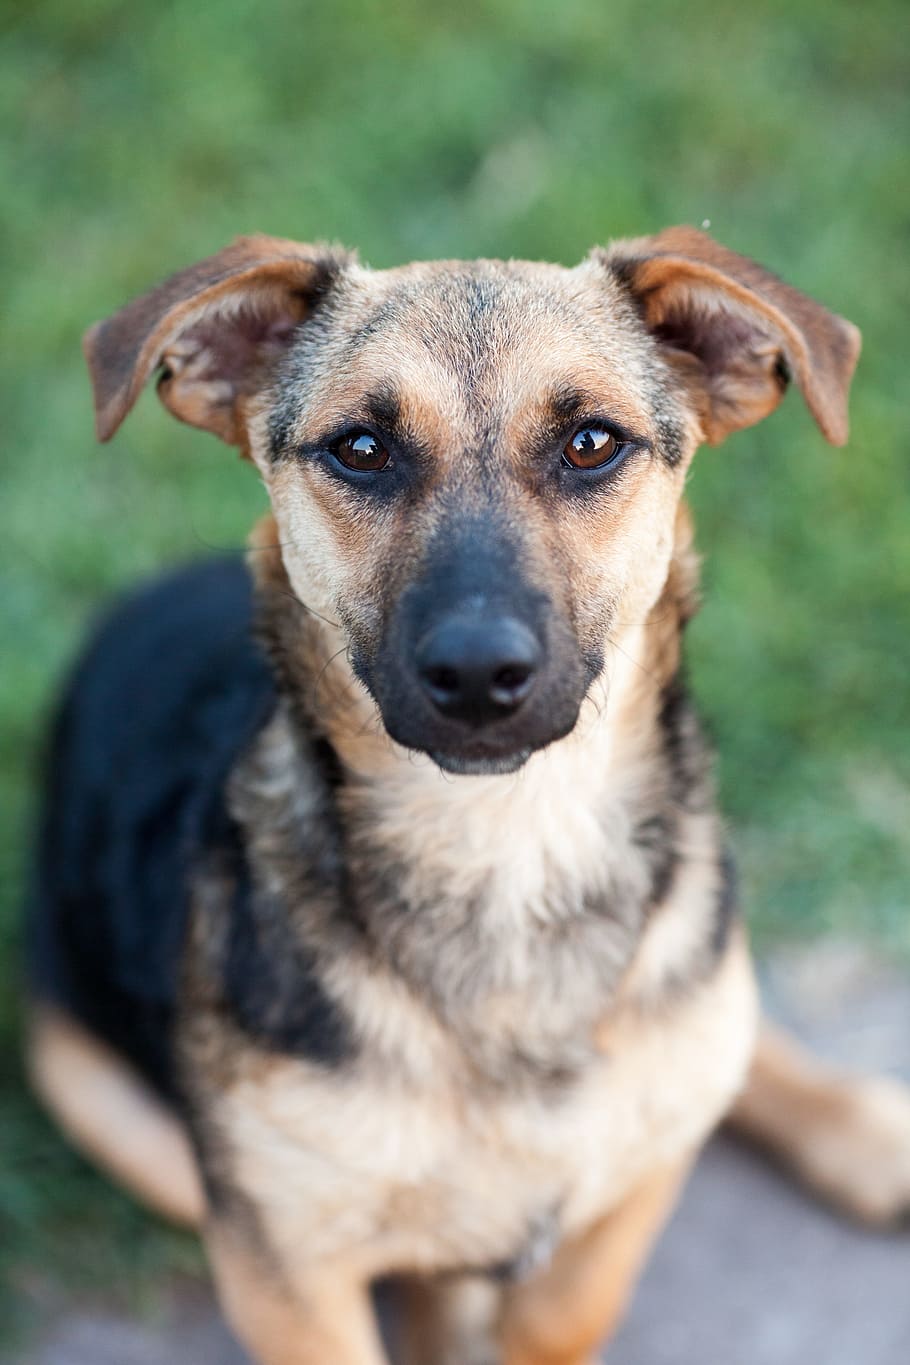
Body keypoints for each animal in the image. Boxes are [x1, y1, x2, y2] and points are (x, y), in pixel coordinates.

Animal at [24, 232, 910, 1365]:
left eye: (591, 443)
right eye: (360, 448)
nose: (481, 673)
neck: (507, 844)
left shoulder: (634, 1188)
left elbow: (566, 1307)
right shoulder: (284, 1267)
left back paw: (864, 1129)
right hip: (99, 1093)